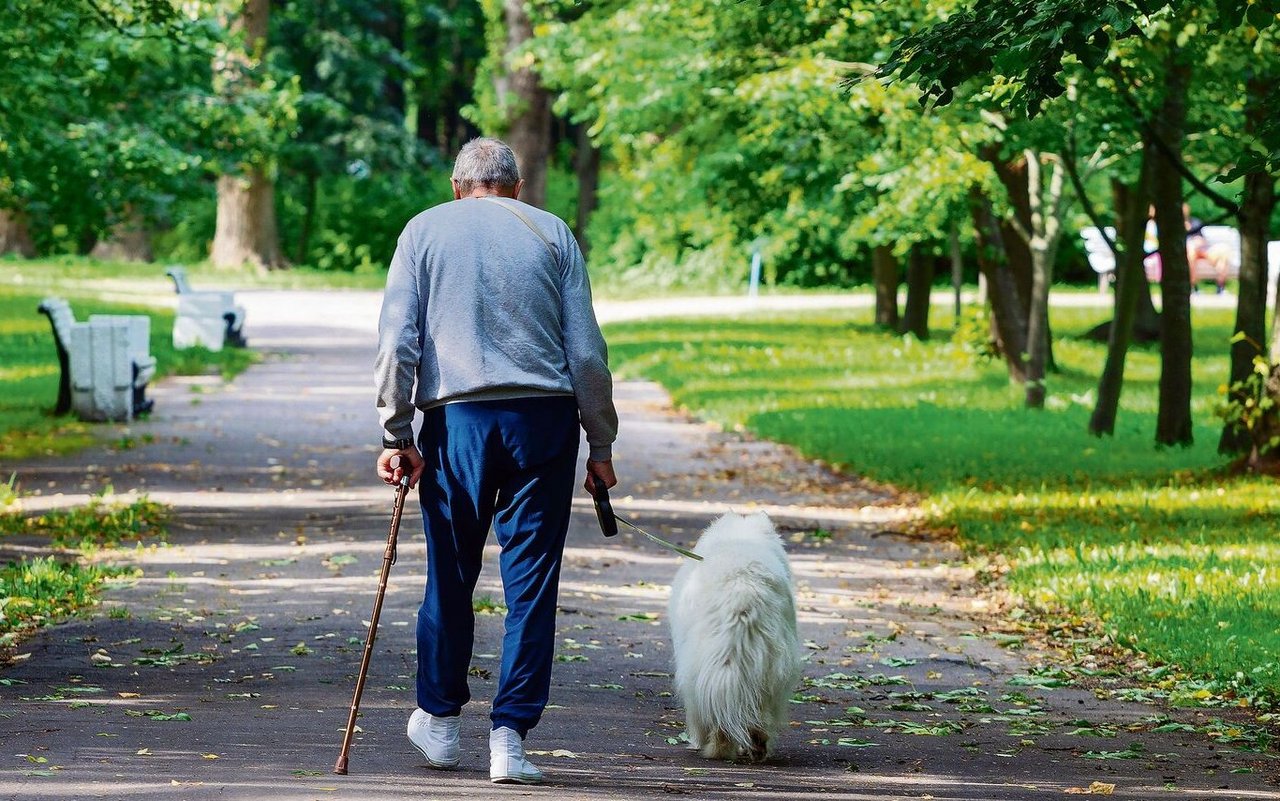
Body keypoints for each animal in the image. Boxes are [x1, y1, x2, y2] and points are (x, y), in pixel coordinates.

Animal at [670, 511, 798, 762]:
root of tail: (743, 587)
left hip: (699, 666)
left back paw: (716, 748)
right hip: (771, 667)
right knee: (760, 711)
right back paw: (757, 746)